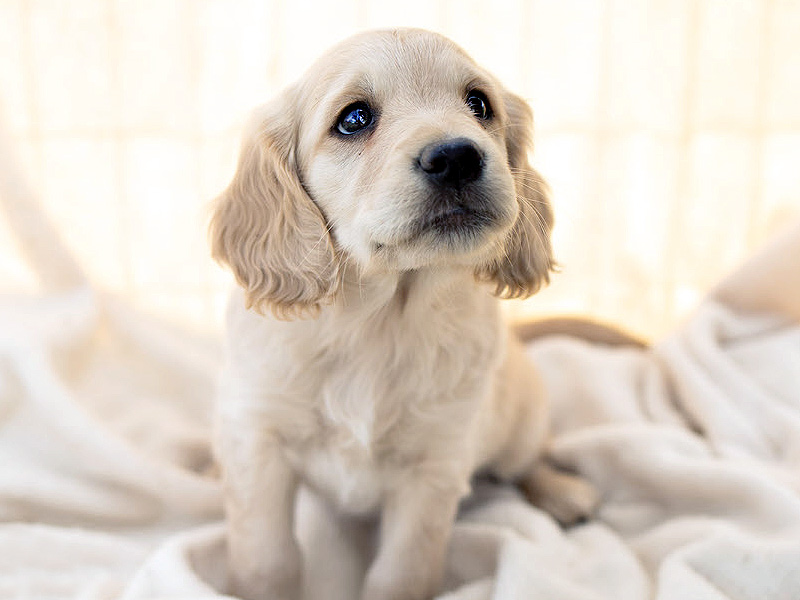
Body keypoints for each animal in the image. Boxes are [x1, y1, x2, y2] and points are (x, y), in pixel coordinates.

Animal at [209, 28, 596, 600]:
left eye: (479, 104)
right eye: (354, 118)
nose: (458, 157)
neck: (379, 321)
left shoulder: (435, 464)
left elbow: (402, 570)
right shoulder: (257, 439)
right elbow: (266, 555)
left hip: (521, 422)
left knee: (528, 458)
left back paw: (562, 490)